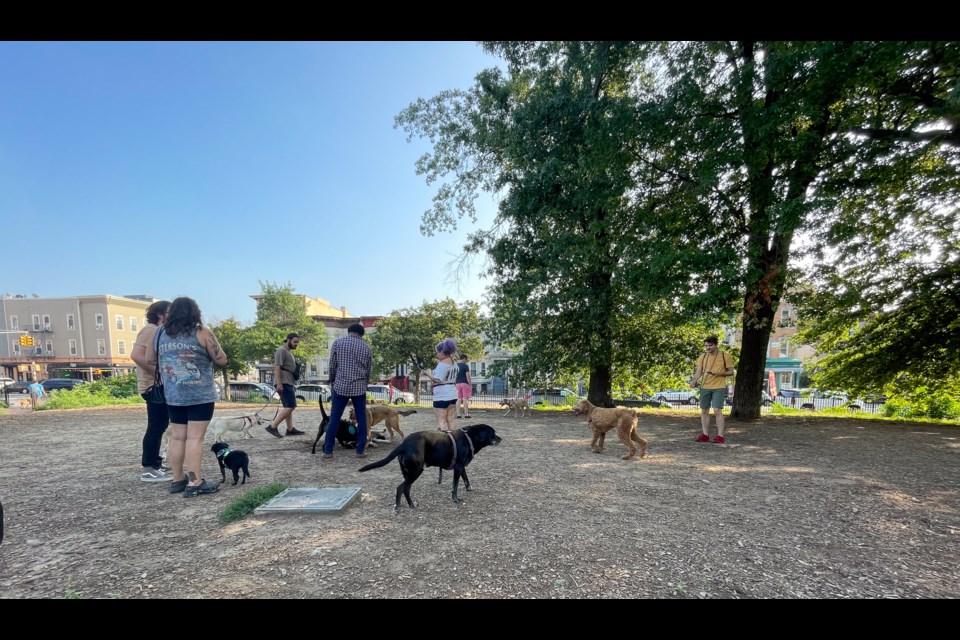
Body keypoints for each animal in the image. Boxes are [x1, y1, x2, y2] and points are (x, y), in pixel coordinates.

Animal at [358, 422, 502, 512]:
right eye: (493, 433)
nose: (501, 439)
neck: (469, 438)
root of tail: (404, 445)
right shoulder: (458, 468)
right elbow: (454, 486)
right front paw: (455, 499)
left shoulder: (462, 468)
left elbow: (466, 479)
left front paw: (468, 488)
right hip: (416, 471)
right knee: (401, 488)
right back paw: (397, 507)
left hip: (408, 472)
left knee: (406, 489)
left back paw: (411, 504)